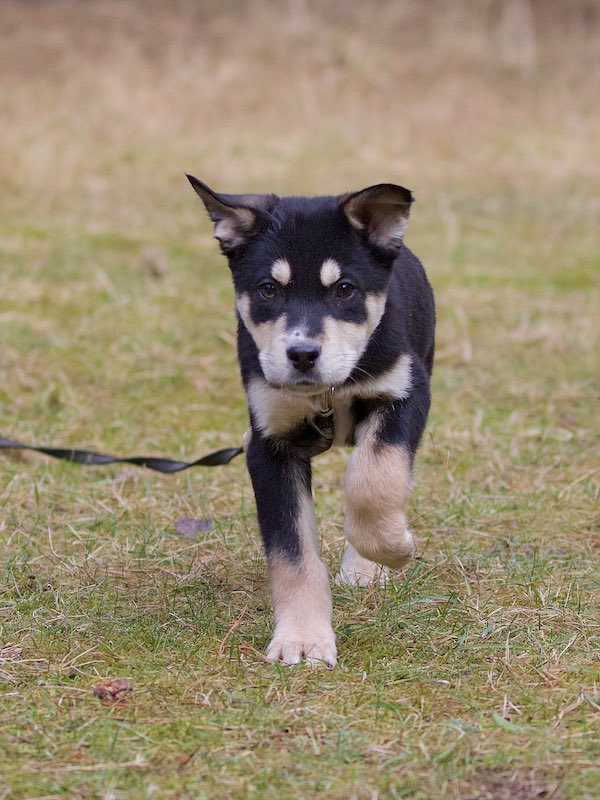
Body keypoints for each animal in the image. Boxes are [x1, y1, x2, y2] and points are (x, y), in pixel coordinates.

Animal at [187, 175, 435, 667]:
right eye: (268, 289)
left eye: (344, 289)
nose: (302, 355)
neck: (327, 394)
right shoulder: (267, 444)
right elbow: (292, 554)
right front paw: (303, 638)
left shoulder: (405, 395)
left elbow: (374, 479)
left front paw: (394, 547)